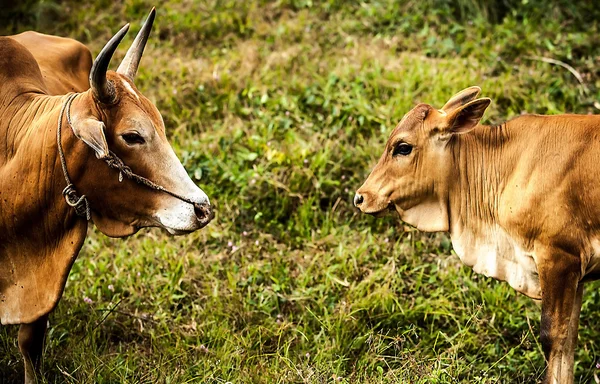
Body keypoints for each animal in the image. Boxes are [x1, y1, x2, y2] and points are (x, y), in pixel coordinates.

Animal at [356, 87, 600, 384]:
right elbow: (569, 340)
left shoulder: (558, 259)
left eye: (403, 147)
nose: (361, 197)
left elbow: (554, 338)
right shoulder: (576, 271)